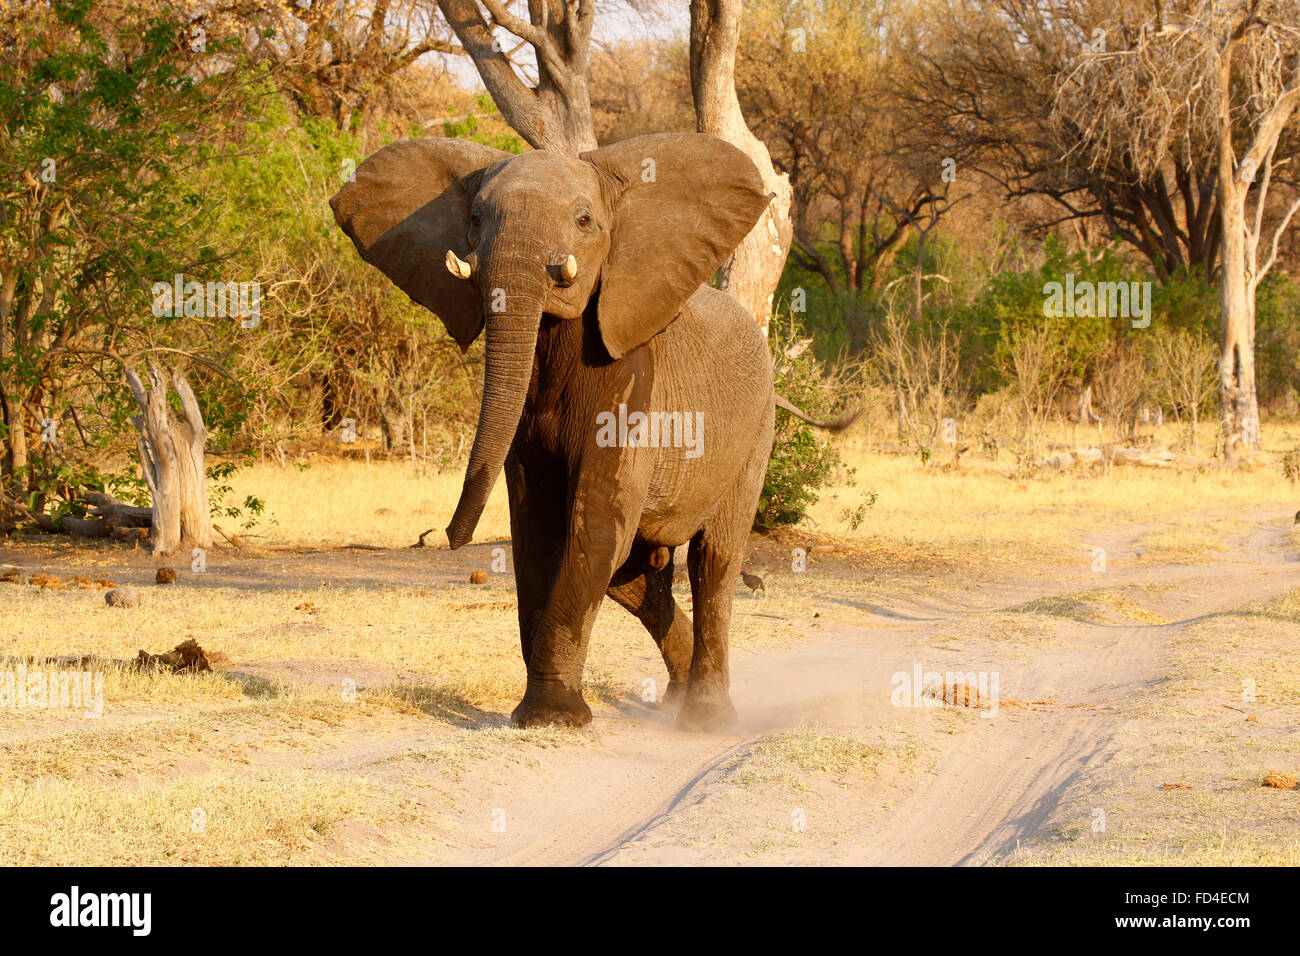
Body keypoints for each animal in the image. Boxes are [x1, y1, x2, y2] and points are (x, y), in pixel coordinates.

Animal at [331, 132, 844, 732]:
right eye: (476, 218)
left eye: (582, 220)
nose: (450, 538)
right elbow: (539, 531)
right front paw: (536, 714)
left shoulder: (634, 382)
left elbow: (593, 524)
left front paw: (554, 718)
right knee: (635, 576)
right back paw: (675, 696)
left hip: (757, 427)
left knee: (714, 560)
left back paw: (705, 720)